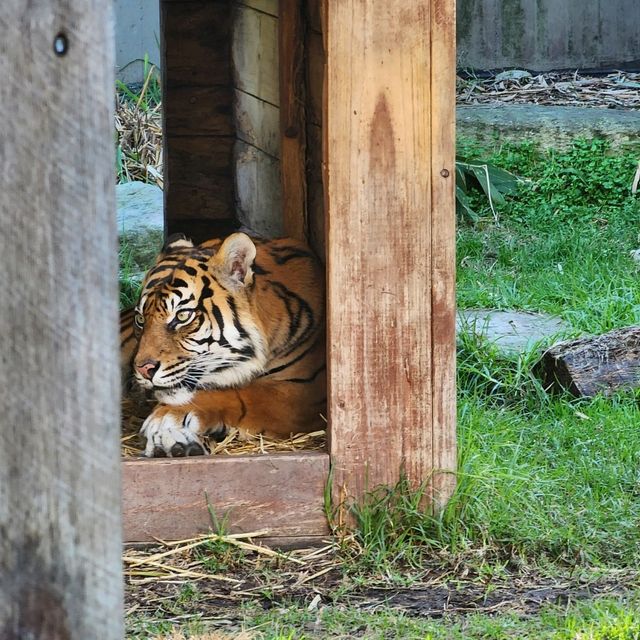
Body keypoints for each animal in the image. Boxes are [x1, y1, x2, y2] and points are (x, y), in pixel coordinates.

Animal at [121, 232, 324, 458]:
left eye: (182, 316)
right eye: (140, 319)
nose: (143, 369)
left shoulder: (304, 390)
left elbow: (236, 394)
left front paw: (165, 420)